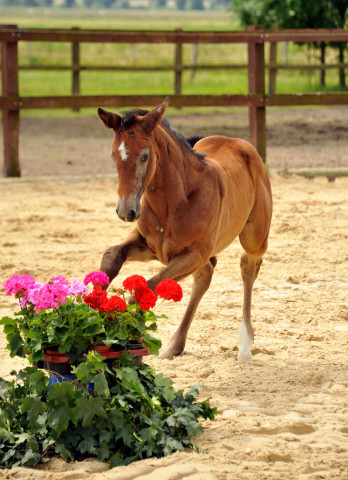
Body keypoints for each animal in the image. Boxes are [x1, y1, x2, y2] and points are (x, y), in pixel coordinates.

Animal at [97, 98, 272, 360]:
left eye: (145, 156)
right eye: (112, 156)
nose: (126, 211)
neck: (176, 201)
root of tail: (241, 144)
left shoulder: (193, 254)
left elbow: (146, 288)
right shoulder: (153, 247)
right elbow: (112, 256)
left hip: (255, 237)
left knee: (248, 265)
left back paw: (245, 345)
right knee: (205, 275)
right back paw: (174, 346)